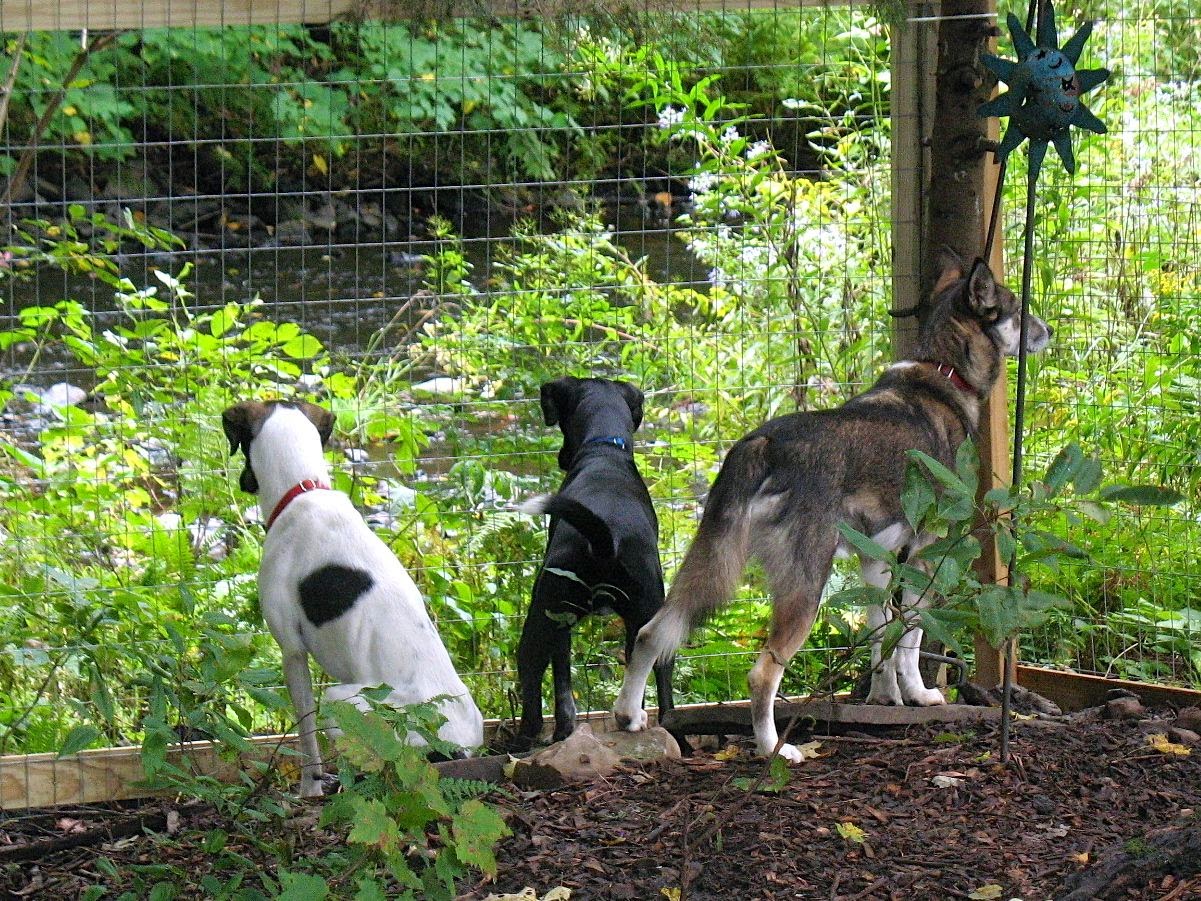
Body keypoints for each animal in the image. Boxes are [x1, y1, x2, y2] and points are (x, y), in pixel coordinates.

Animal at [222, 399, 484, 796]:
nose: (242, 482)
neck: (304, 490)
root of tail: (452, 747)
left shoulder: (292, 652)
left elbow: (307, 739)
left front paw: (309, 791)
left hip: (340, 702)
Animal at [516, 377, 674, 746]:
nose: (561, 458)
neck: (605, 449)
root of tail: (606, 540)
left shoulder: (560, 626)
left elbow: (561, 685)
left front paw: (562, 731)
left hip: (543, 613)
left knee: (530, 678)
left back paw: (526, 738)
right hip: (650, 616)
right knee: (659, 685)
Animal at [612, 251, 1052, 761]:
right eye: (1018, 310)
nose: (1048, 330)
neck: (941, 370)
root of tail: (764, 443)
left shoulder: (876, 561)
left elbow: (882, 639)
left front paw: (885, 699)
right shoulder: (925, 555)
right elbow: (911, 638)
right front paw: (919, 695)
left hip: (708, 565)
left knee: (649, 633)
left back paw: (629, 714)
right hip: (805, 587)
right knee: (762, 674)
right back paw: (774, 749)